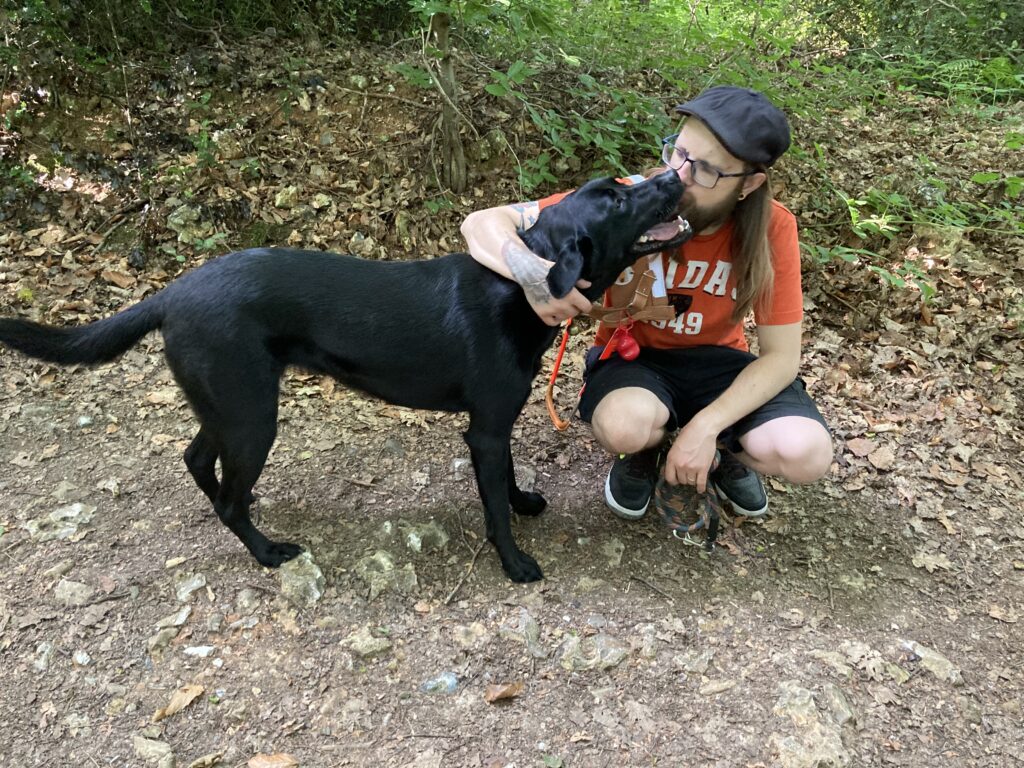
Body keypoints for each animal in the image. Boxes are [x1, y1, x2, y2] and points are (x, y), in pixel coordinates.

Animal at [2, 171, 688, 581]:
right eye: (619, 199)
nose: (673, 175)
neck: (520, 285)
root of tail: (171, 292)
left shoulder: (495, 427)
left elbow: (508, 482)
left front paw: (523, 502)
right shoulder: (487, 430)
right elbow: (492, 504)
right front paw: (515, 560)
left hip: (230, 405)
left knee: (198, 461)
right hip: (252, 415)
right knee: (227, 496)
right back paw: (267, 551)